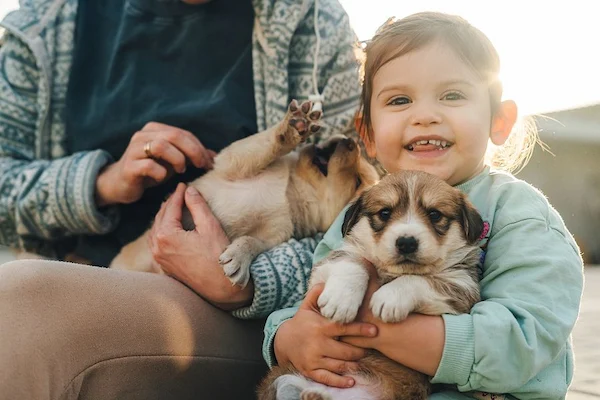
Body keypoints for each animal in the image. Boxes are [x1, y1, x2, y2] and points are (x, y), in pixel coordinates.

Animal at [110, 100, 378, 288]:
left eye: (357, 181)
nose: (351, 142)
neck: (288, 192)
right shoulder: (235, 159)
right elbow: (266, 144)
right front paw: (291, 129)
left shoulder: (273, 235)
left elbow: (251, 241)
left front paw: (239, 258)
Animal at [258, 171, 482, 400]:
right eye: (384, 213)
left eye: (435, 214)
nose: (406, 243)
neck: (392, 272)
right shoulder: (323, 270)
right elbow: (354, 261)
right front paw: (341, 301)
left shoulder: (462, 286)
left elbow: (420, 280)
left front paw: (389, 298)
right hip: (282, 378)